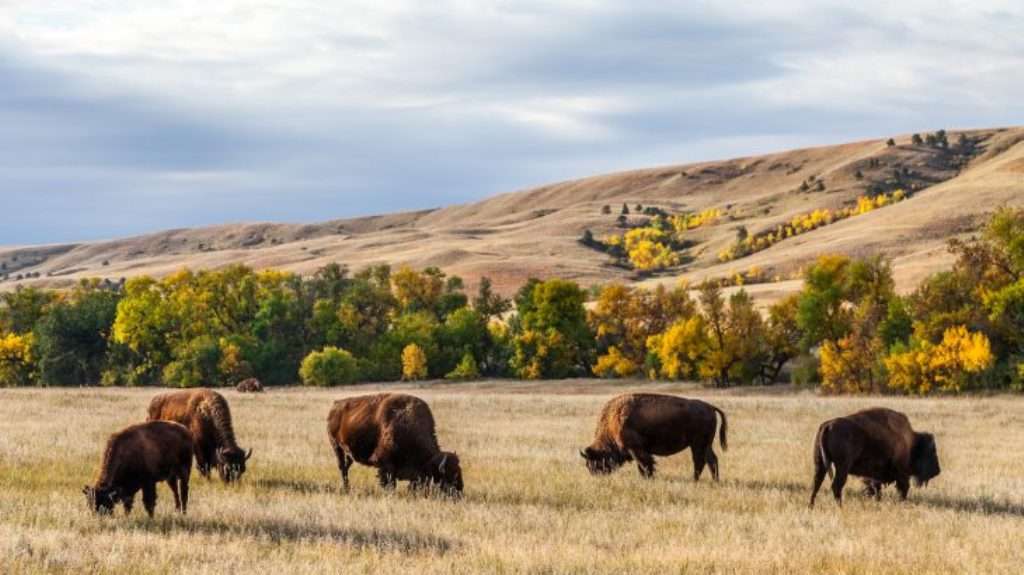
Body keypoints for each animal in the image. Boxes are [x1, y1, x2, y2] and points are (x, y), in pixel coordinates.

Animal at [327, 393, 463, 496]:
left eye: (459, 470)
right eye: (450, 476)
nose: (460, 493)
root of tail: (335, 405)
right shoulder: (385, 464)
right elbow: (390, 483)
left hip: (348, 453)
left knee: (346, 466)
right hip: (336, 447)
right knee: (342, 468)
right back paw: (346, 488)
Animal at [580, 393, 728, 480]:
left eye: (593, 461)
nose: (595, 475)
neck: (613, 420)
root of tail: (710, 407)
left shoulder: (636, 450)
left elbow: (645, 465)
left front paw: (648, 478)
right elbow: (643, 466)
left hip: (698, 444)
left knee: (700, 461)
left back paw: (695, 480)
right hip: (705, 445)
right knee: (711, 460)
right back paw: (713, 481)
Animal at [810, 407, 940, 506]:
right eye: (932, 452)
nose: (937, 471)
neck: (911, 443)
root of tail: (827, 425)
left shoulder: (874, 476)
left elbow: (875, 487)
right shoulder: (901, 472)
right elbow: (903, 487)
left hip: (819, 463)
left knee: (816, 483)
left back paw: (811, 506)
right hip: (842, 467)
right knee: (836, 486)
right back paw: (840, 507)